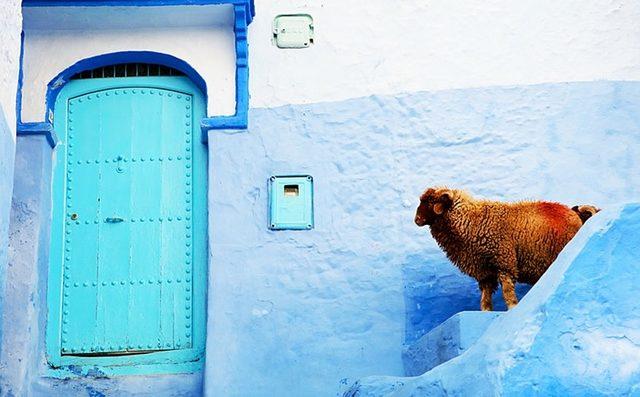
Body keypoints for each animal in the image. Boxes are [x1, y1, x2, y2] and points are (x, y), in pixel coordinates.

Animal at [416, 187, 584, 310]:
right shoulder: (484, 271)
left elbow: (507, 290)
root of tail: (571, 212)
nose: (416, 219)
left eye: (431, 202)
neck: (470, 220)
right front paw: (486, 310)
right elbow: (485, 295)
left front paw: (512, 307)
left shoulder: (504, 261)